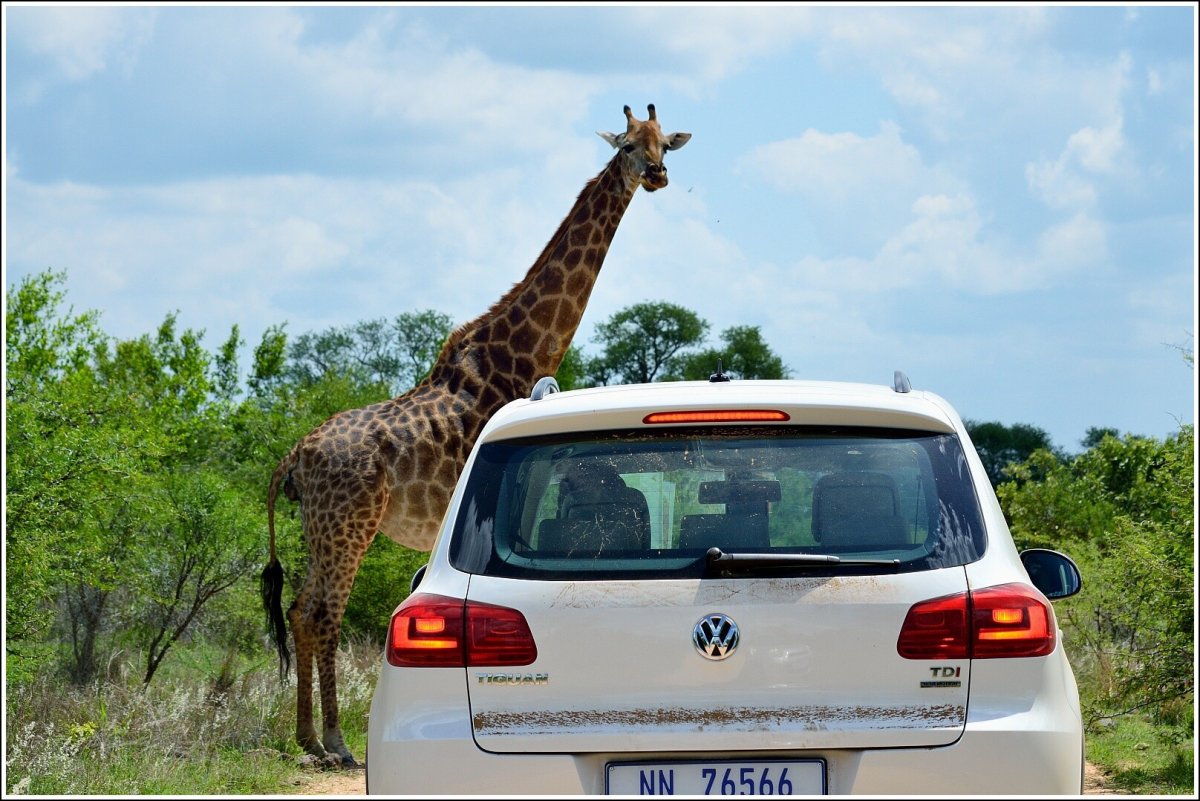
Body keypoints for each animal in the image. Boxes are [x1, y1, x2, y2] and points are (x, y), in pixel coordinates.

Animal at [262, 103, 696, 767]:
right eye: (625, 146)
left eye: (664, 145)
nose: (656, 176)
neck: (518, 353)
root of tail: (296, 456)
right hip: (349, 522)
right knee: (324, 612)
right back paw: (335, 743)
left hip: (319, 525)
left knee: (299, 609)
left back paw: (308, 739)